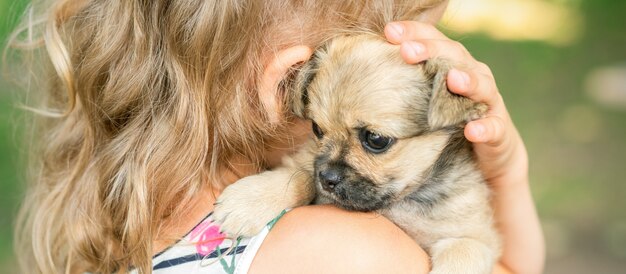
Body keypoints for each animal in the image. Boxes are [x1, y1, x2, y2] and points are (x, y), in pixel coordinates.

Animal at [212, 34, 500, 274]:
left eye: (376, 139)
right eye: (317, 129)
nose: (326, 178)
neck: (399, 201)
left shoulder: (476, 238)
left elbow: (463, 251)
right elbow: (299, 175)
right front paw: (250, 200)